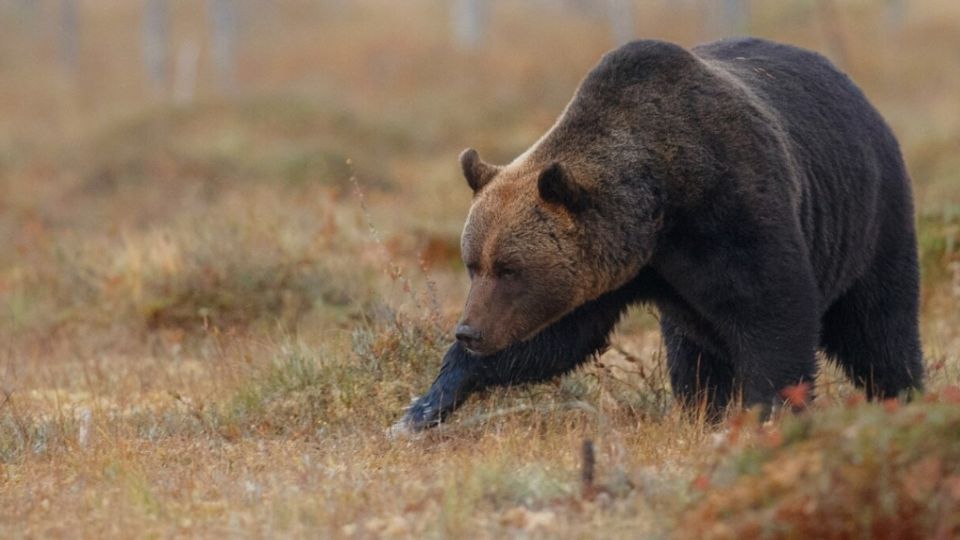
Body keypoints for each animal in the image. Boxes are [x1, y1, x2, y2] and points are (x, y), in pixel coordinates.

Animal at [396, 37, 924, 434]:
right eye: (473, 264)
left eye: (510, 268)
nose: (468, 331)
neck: (659, 212)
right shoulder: (613, 271)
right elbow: (553, 339)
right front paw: (422, 406)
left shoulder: (734, 211)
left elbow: (775, 315)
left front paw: (771, 414)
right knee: (692, 351)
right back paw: (699, 409)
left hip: (871, 217)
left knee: (879, 326)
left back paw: (905, 395)